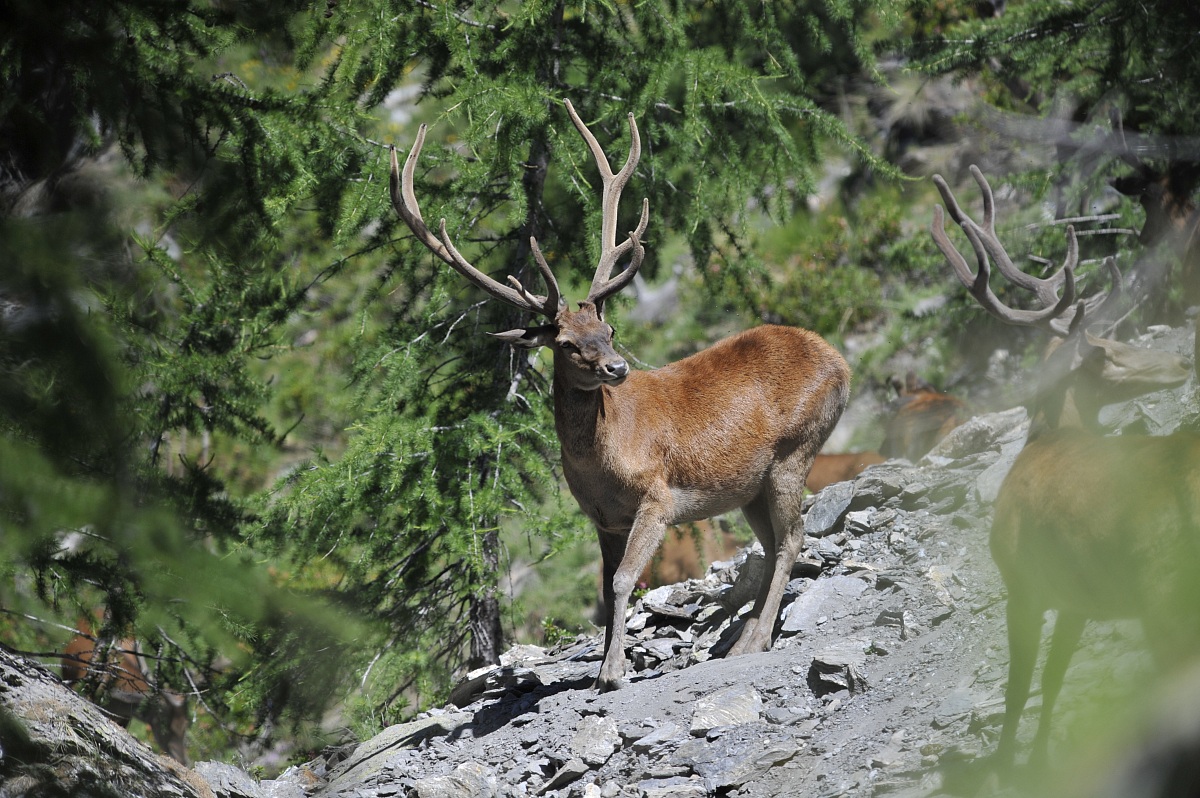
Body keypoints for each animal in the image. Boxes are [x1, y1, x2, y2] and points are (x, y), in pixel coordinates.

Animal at [390, 99, 851, 690]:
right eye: (566, 343)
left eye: (607, 330)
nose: (617, 367)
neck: (603, 463)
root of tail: (839, 362)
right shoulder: (603, 518)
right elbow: (608, 588)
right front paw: (607, 666)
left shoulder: (657, 496)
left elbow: (624, 579)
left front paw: (612, 672)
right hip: (749, 484)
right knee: (772, 543)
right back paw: (740, 638)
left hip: (796, 448)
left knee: (794, 537)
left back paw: (754, 641)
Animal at [931, 164, 1197, 768]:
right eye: (1104, 351)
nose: (1181, 361)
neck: (1052, 436)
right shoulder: (1075, 599)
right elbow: (1050, 682)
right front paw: (1035, 764)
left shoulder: (1022, 580)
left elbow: (1019, 688)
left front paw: (1007, 767)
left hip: (1162, 584)